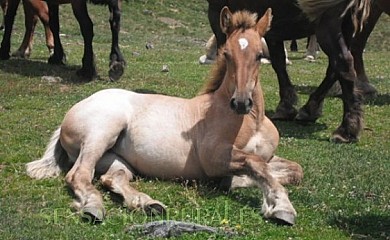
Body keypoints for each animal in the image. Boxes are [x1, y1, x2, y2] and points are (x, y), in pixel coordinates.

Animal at [25, 7, 304, 225]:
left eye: (260, 55)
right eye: (226, 54)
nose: (241, 103)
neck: (252, 121)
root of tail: (73, 110)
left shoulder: (267, 156)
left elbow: (292, 170)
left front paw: (242, 183)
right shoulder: (213, 157)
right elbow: (256, 165)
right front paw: (281, 207)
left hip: (114, 158)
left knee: (112, 177)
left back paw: (148, 204)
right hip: (100, 134)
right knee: (79, 175)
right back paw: (94, 207)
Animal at [206, 0, 370, 142]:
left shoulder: (216, 12)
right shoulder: (274, 29)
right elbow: (279, 63)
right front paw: (286, 106)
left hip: (328, 22)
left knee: (343, 62)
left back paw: (347, 129)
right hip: (347, 24)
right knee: (334, 69)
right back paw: (310, 110)